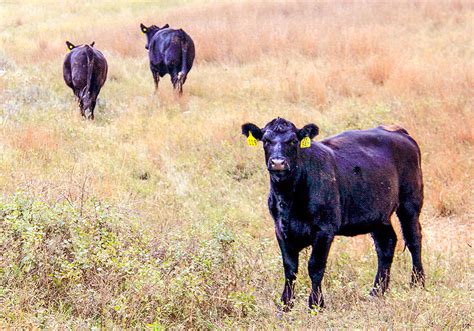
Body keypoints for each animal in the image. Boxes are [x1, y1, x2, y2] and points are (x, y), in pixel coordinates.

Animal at [241, 118, 426, 312]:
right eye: (266, 140)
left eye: (293, 141)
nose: (278, 162)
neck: (289, 198)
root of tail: (398, 131)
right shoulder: (281, 229)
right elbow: (290, 268)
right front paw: (285, 305)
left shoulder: (324, 230)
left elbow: (315, 266)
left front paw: (316, 304)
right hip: (378, 214)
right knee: (386, 244)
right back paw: (377, 291)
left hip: (410, 202)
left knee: (414, 239)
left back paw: (417, 283)